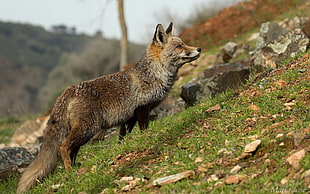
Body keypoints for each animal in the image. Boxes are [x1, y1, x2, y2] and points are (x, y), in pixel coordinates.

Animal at [17, 22, 201, 192]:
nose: (198, 48)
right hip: (88, 128)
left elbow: (122, 139)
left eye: (184, 43)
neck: (153, 75)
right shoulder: (142, 110)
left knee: (72, 150)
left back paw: (75, 167)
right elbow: (144, 131)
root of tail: (67, 90)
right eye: (179, 46)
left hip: (84, 131)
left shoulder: (129, 117)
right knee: (63, 146)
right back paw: (70, 171)